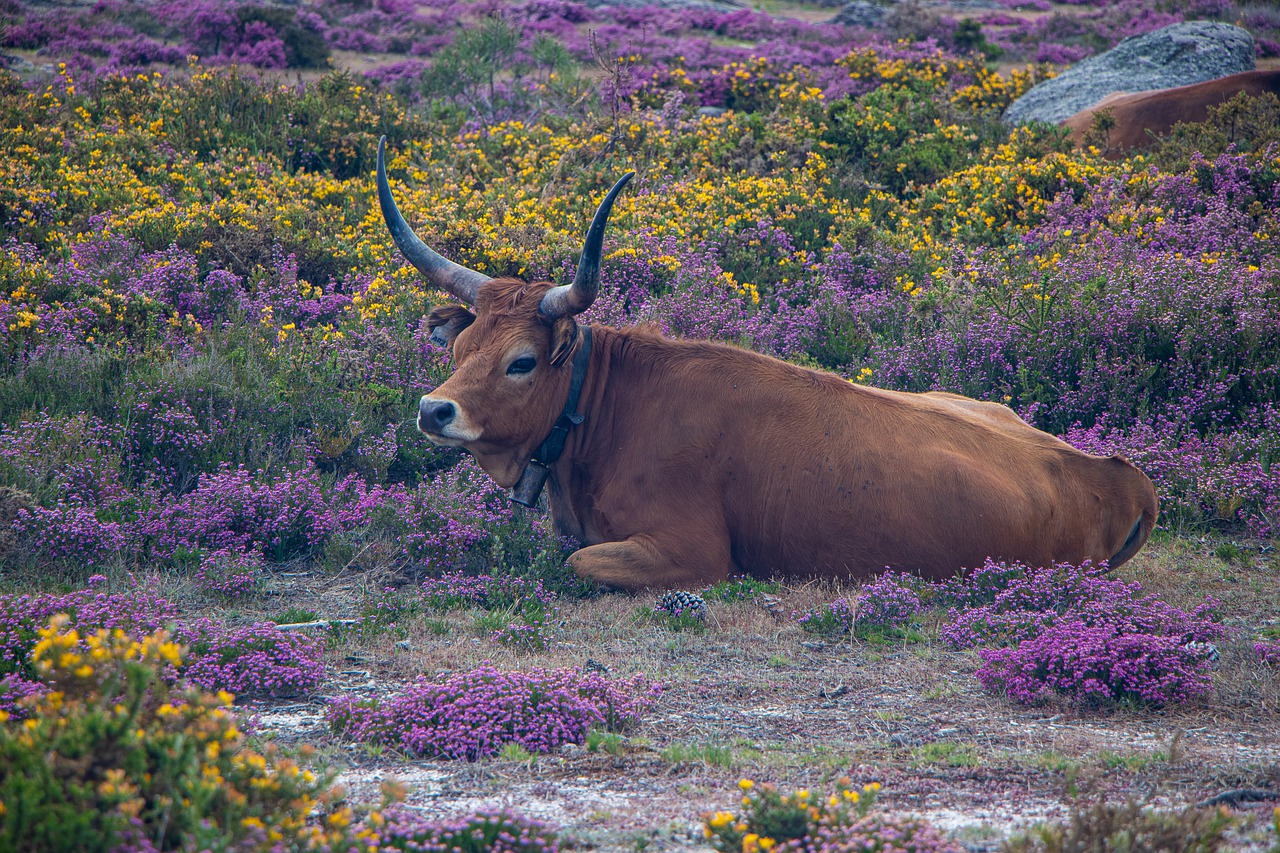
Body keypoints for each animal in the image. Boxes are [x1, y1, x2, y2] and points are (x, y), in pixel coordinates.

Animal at [376, 139, 1162, 591]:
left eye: (522, 362)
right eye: (458, 350)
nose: (433, 410)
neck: (607, 415)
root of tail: (1120, 473)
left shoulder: (690, 552)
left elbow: (573, 564)